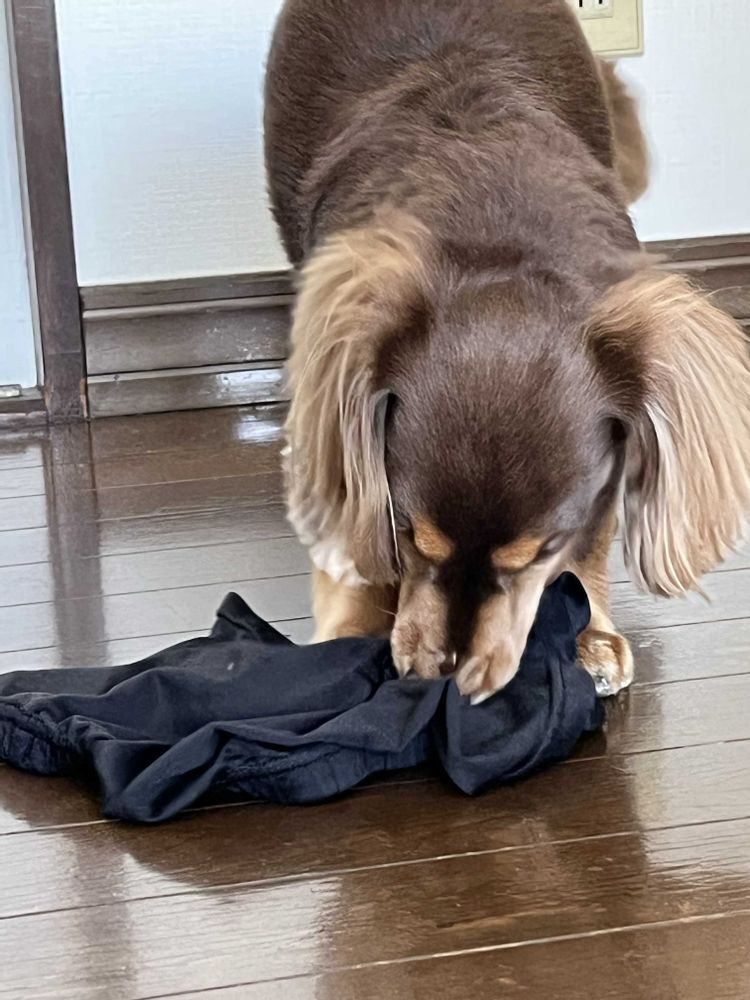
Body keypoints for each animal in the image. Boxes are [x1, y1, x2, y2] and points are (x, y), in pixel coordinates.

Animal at [265, 0, 750, 703]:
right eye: (410, 536)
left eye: (541, 552)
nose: (447, 674)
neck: (495, 228)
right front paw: (349, 632)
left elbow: (592, 539)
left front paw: (590, 633)